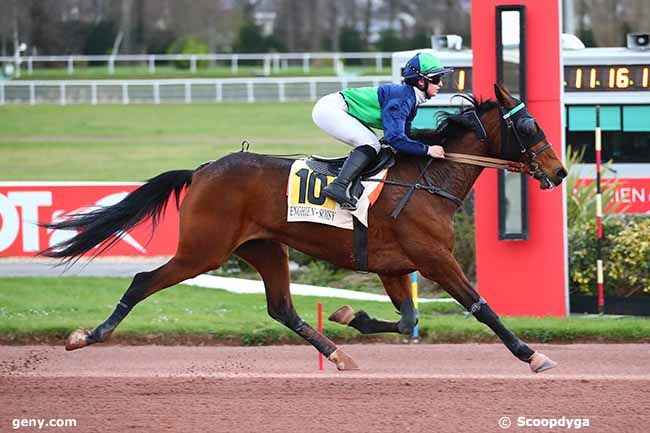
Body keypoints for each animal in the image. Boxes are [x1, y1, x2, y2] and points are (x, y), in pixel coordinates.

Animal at [43, 83, 564, 372]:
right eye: (531, 126)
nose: (558, 172)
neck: (428, 178)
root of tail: (202, 170)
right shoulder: (434, 258)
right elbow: (481, 307)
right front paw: (531, 354)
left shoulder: (394, 266)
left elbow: (408, 320)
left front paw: (350, 315)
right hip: (203, 251)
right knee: (142, 280)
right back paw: (87, 336)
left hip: (264, 248)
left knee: (281, 308)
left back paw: (337, 354)